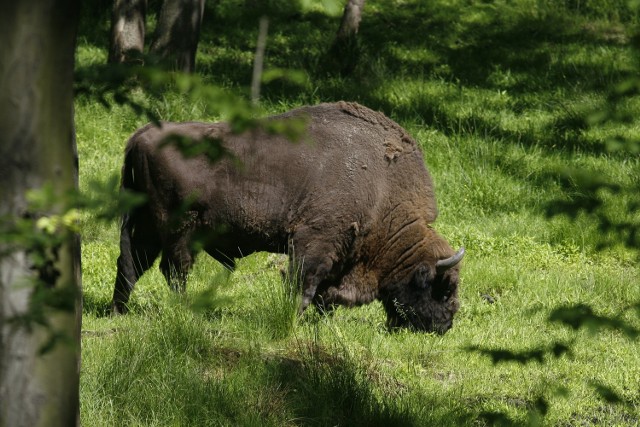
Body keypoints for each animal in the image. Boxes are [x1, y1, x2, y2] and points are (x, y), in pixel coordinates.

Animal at [112, 103, 464, 334]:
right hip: (178, 229)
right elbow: (303, 284)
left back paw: (120, 311)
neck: (381, 188)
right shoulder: (315, 242)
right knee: (174, 269)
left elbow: (323, 292)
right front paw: (291, 319)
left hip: (144, 226)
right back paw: (185, 311)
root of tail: (141, 136)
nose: (445, 325)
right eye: (444, 288)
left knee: (131, 263)